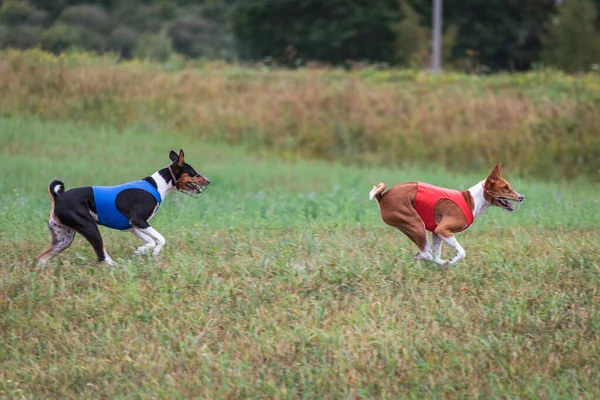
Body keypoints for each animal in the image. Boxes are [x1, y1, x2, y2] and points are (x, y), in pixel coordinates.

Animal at [38, 148, 211, 268]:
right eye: (193, 173)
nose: (208, 181)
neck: (157, 185)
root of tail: (58, 197)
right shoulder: (138, 220)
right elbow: (161, 239)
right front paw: (154, 252)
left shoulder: (132, 226)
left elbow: (150, 241)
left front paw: (141, 250)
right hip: (90, 228)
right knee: (101, 256)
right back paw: (117, 267)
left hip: (63, 238)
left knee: (42, 258)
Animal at [370, 164, 524, 268]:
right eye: (505, 187)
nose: (522, 197)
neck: (472, 200)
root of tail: (382, 197)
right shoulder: (442, 230)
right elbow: (461, 252)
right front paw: (452, 261)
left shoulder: (436, 233)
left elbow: (437, 252)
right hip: (416, 224)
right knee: (427, 254)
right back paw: (443, 262)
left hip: (410, 227)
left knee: (428, 254)